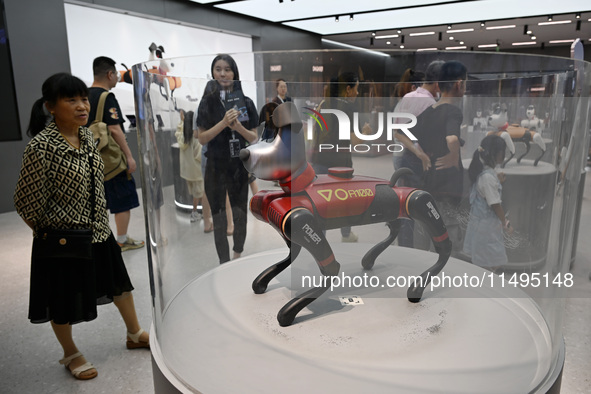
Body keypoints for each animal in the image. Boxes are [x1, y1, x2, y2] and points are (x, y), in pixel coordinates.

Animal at [240, 102, 454, 326]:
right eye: (264, 133)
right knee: (395, 227)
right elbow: (293, 254)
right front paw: (263, 283)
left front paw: (289, 311)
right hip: (395, 207)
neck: (301, 186)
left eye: (271, 137)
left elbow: (331, 269)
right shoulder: (291, 227)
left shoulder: (299, 220)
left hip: (415, 201)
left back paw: (417, 286)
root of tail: (392, 184)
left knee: (442, 243)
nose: (243, 153)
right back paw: (370, 260)